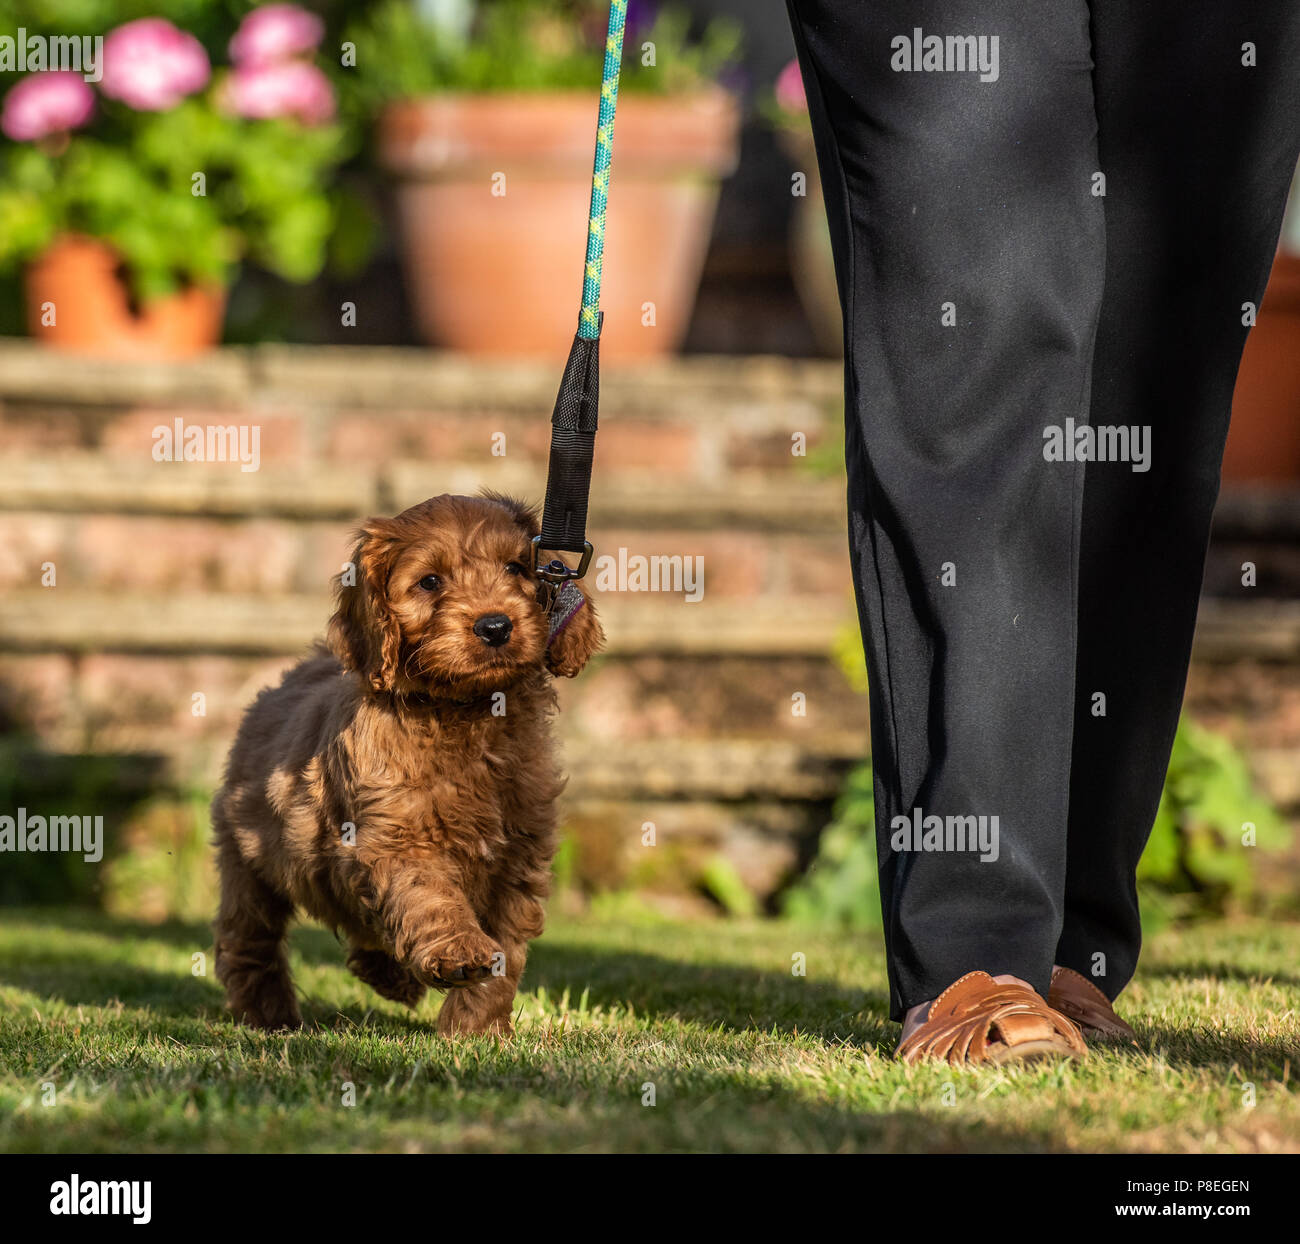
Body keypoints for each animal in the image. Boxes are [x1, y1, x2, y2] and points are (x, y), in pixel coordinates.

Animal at [210, 491, 600, 1034]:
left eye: (517, 568)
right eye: (430, 581)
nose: (496, 625)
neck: (466, 711)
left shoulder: (519, 857)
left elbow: (507, 951)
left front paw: (476, 1031)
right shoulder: (396, 836)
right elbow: (427, 894)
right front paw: (459, 952)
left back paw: (389, 976)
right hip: (249, 860)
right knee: (249, 939)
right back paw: (270, 1015)